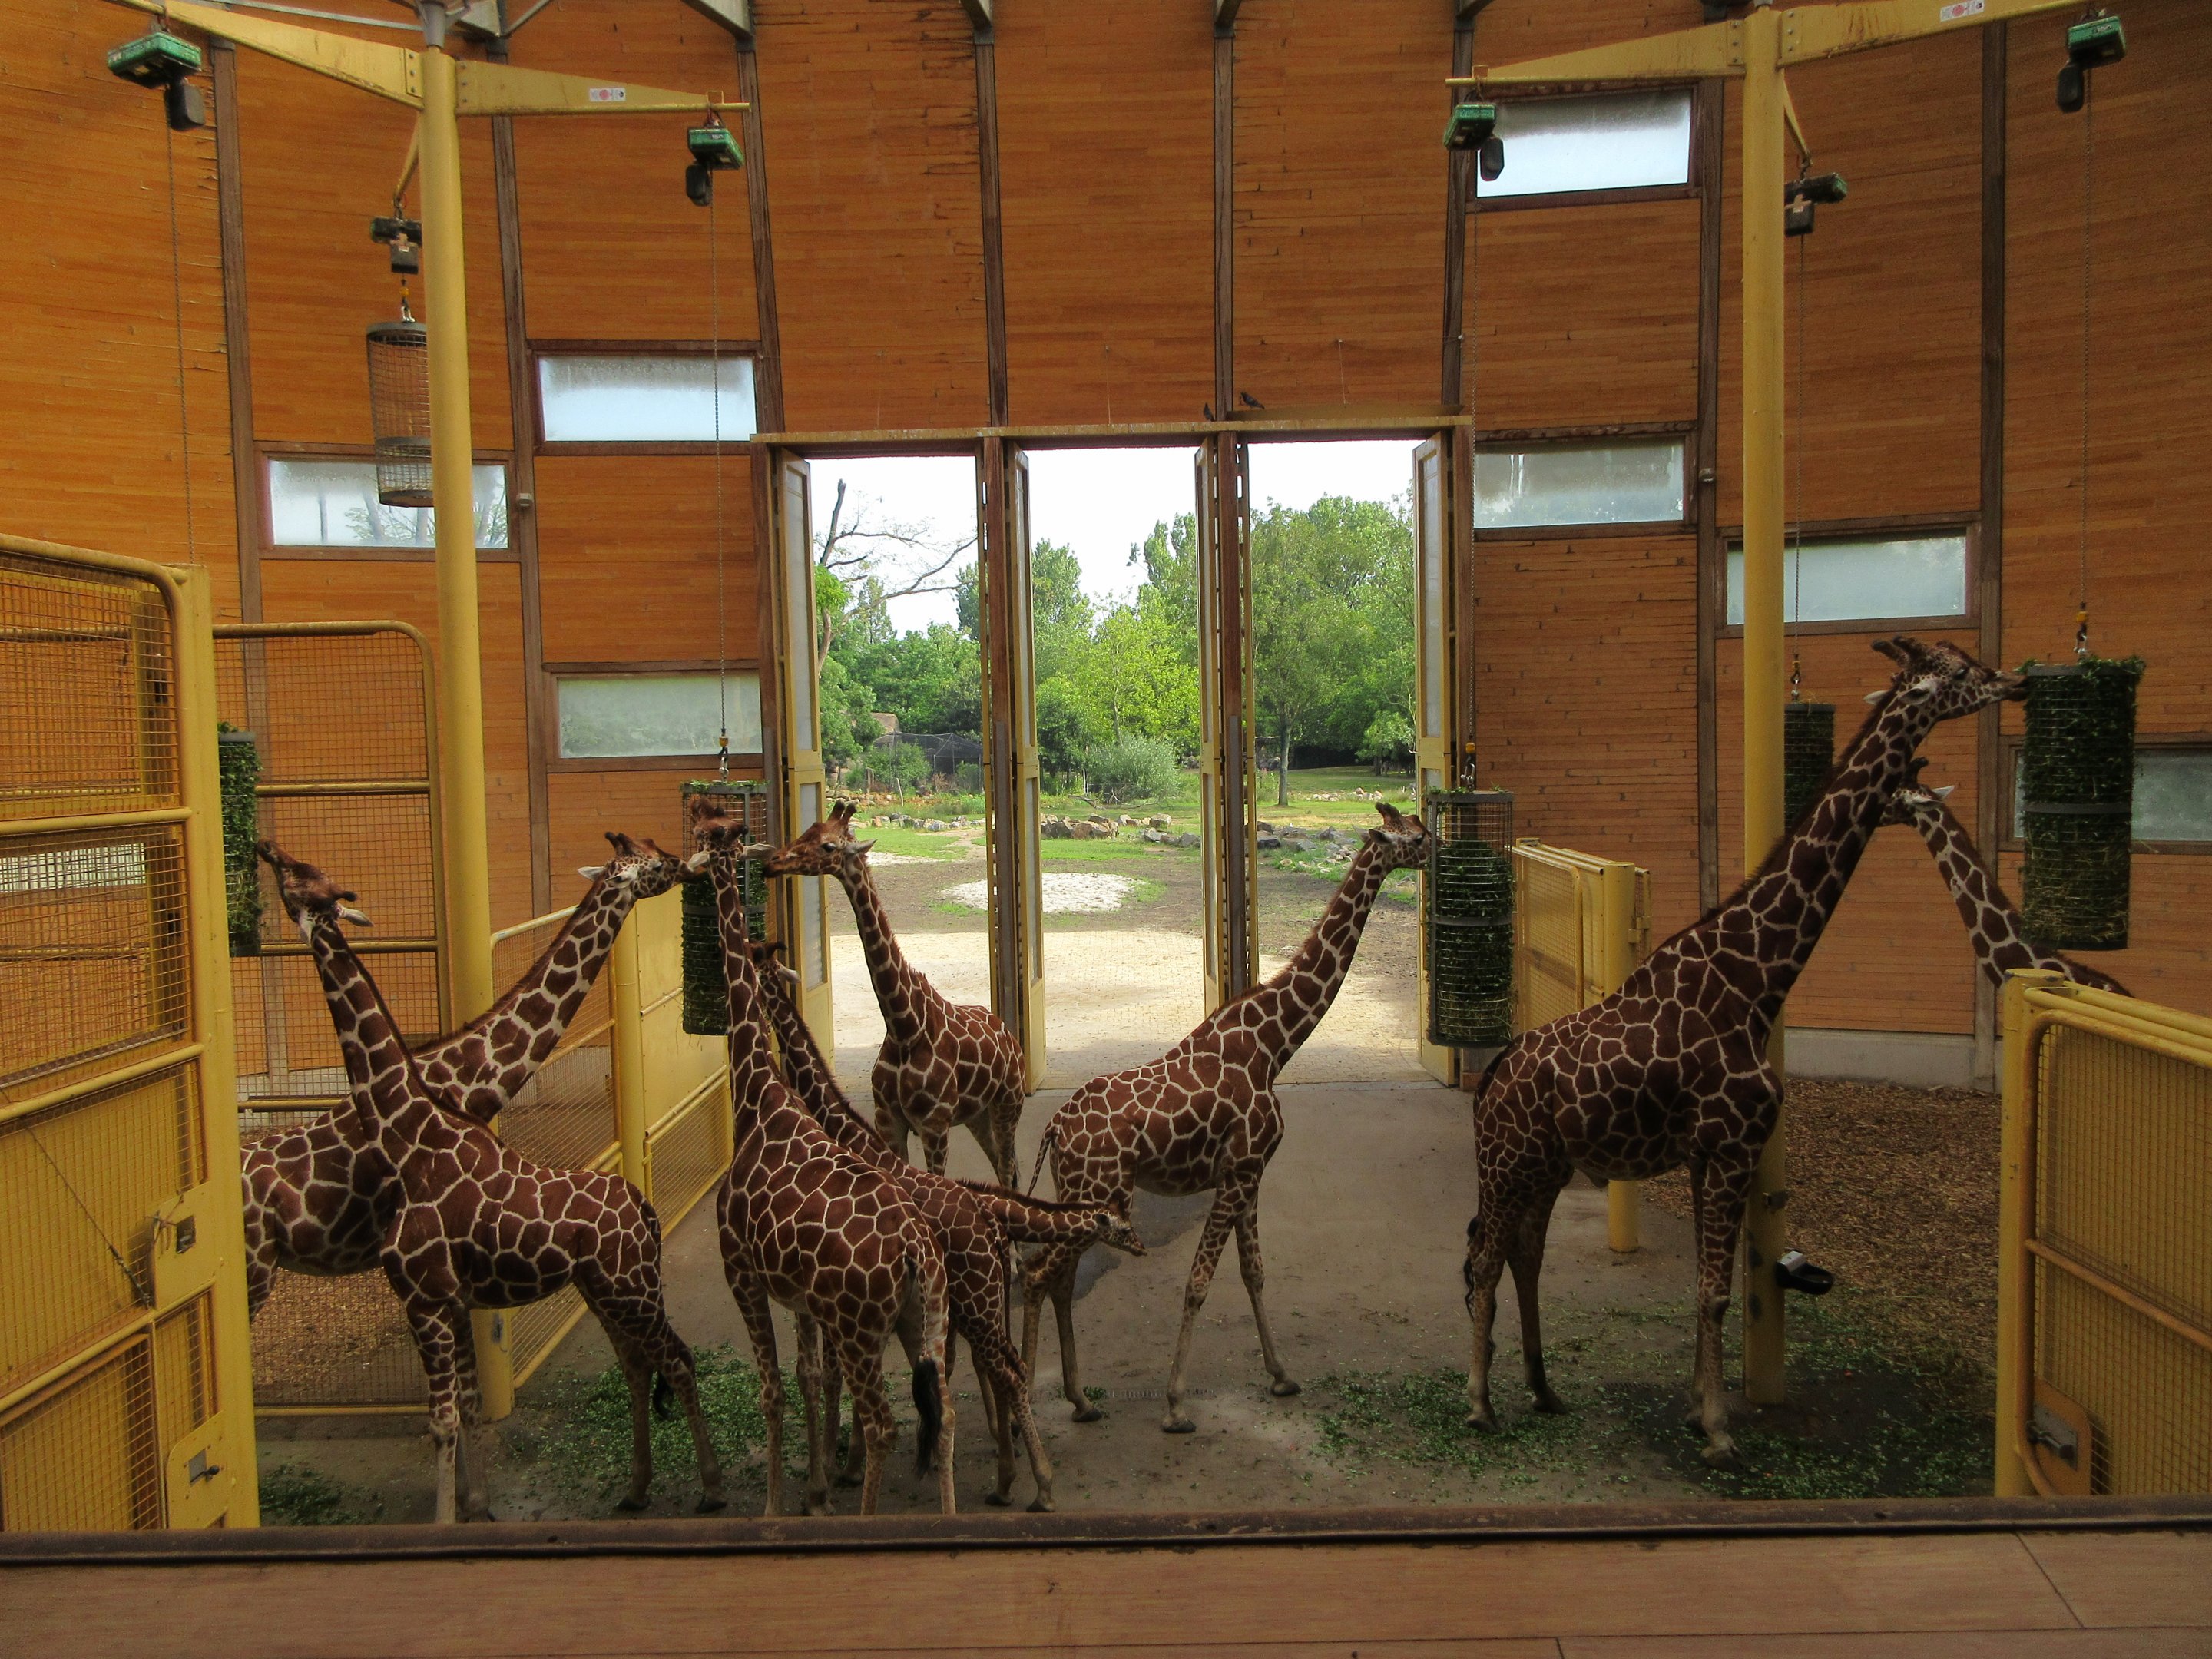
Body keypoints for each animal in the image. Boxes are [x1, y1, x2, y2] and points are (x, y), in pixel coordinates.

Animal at [690, 800, 958, 1516]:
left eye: (706, 829)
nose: (774, 861)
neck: (758, 1094)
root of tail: (917, 1250)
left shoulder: (741, 1271)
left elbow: (775, 1391)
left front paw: (782, 1504)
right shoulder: (801, 1297)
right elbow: (809, 1375)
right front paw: (816, 1481)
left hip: (864, 1323)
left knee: (887, 1420)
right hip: (922, 1314)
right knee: (944, 1407)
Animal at [733, 933, 1144, 1510]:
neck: (845, 1131)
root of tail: (989, 1219)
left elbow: (837, 1374)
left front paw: (837, 1473)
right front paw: (844, 1468)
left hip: (965, 1295)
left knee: (995, 1365)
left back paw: (1023, 1477)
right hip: (971, 1295)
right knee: (989, 1361)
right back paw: (1009, 1460)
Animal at [763, 802, 1027, 1185]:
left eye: (828, 846)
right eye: (806, 832)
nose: (772, 862)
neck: (904, 1026)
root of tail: (1011, 1039)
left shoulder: (934, 1125)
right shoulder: (888, 1120)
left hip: (1008, 1102)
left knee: (1007, 1169)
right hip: (976, 1114)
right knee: (1003, 1166)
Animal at [1022, 802, 1434, 1435]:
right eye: (1411, 836)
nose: (1439, 846)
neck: (1274, 1046)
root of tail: (1054, 1128)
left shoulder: (1250, 1174)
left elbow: (1254, 1272)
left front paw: (1282, 1376)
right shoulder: (1239, 1172)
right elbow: (1197, 1282)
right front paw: (1175, 1406)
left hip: (1079, 1197)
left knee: (1058, 1281)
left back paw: (1081, 1401)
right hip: (1098, 1194)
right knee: (1038, 1276)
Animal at [1460, 637, 2023, 1465]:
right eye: (1953, 673)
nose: (2010, 679)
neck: (1755, 980)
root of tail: (1494, 1073)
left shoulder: (1706, 1152)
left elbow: (1706, 1285)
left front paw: (1703, 1412)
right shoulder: (1732, 1143)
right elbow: (1717, 1289)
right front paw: (1721, 1430)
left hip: (1546, 1163)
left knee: (1524, 1254)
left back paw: (1542, 1389)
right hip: (1507, 1161)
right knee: (1485, 1259)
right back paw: (1479, 1403)